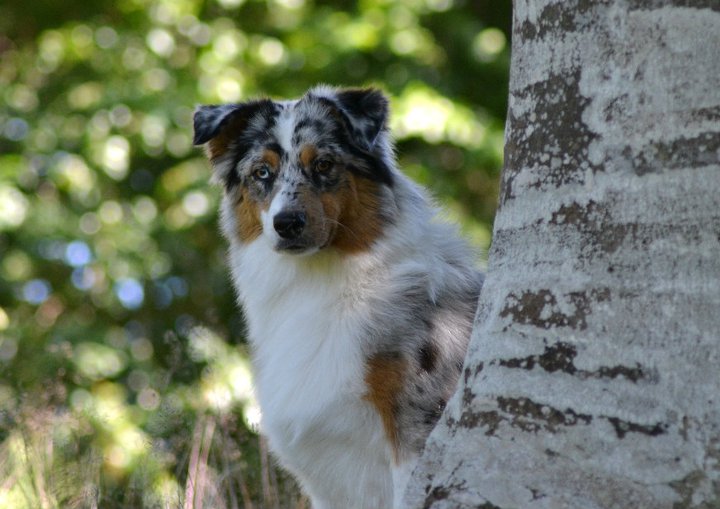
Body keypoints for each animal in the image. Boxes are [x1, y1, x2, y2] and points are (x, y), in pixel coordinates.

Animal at [194, 85, 480, 506]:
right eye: (261, 172)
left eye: (324, 164)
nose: (287, 223)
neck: (319, 281)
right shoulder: (326, 479)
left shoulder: (415, 431)